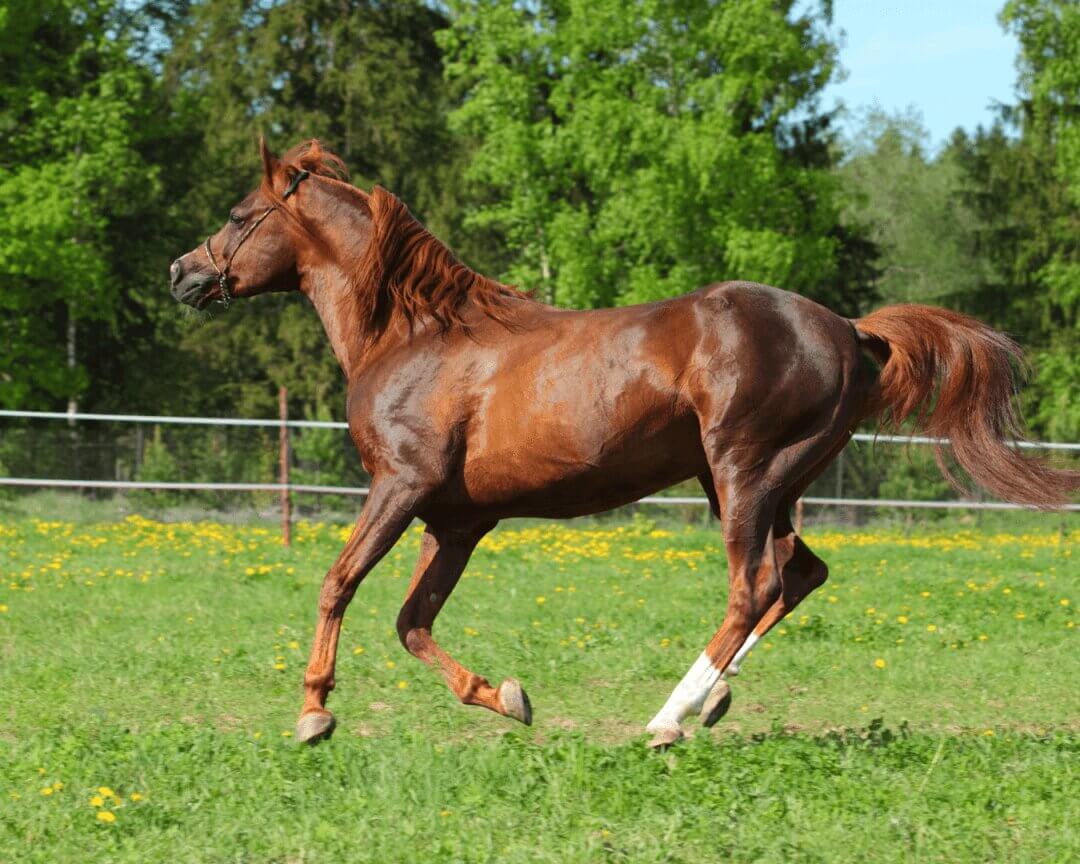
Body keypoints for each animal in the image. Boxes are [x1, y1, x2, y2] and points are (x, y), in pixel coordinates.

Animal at [169, 139, 1079, 748]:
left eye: (239, 216)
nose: (182, 273)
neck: (415, 335)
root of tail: (851, 331)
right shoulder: (457, 523)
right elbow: (411, 621)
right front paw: (506, 696)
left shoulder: (400, 487)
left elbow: (339, 583)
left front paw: (314, 711)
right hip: (767, 482)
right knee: (800, 573)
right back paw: (713, 700)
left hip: (744, 473)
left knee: (753, 585)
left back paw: (668, 718)